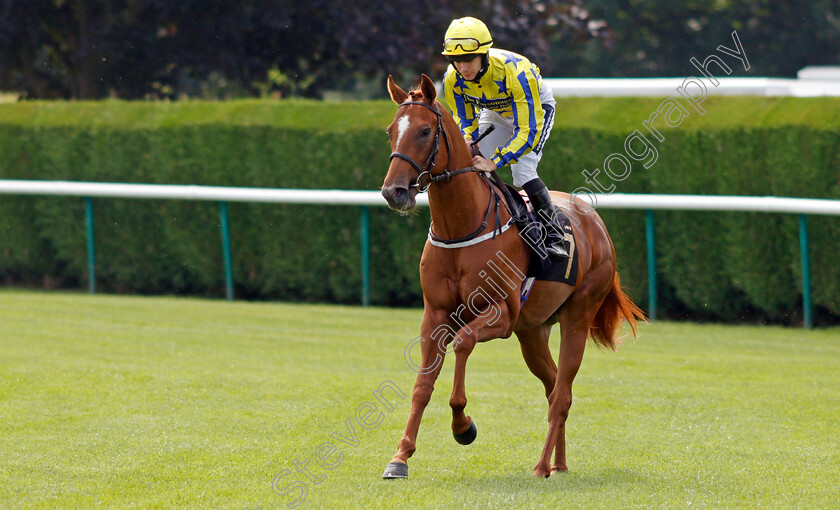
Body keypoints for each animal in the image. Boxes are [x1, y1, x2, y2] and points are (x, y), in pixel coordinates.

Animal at [380, 74, 644, 478]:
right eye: (392, 131)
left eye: (425, 131)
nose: (393, 192)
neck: (462, 225)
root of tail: (596, 224)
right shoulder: (435, 315)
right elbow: (422, 384)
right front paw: (400, 457)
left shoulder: (502, 314)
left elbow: (463, 344)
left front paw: (463, 426)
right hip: (533, 331)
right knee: (553, 386)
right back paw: (558, 464)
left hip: (577, 317)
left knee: (562, 393)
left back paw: (541, 465)